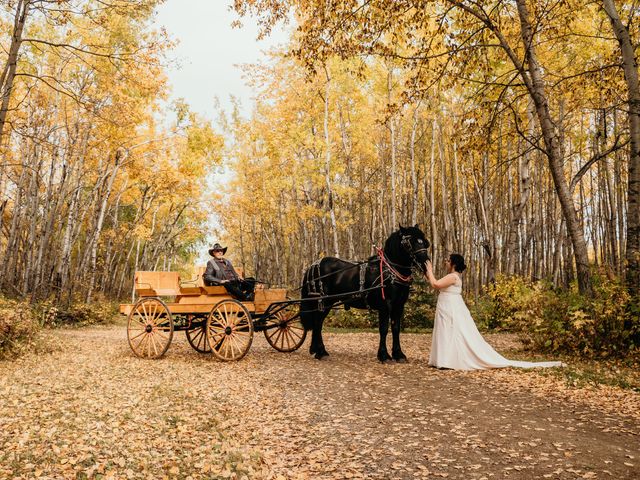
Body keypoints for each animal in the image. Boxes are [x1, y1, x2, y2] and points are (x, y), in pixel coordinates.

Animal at [300, 227, 430, 362]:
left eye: (424, 242)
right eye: (409, 242)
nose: (425, 262)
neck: (391, 271)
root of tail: (314, 264)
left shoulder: (399, 306)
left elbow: (396, 329)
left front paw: (398, 354)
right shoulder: (385, 305)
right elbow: (384, 329)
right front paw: (384, 355)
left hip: (326, 303)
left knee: (317, 323)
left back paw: (316, 350)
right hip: (323, 301)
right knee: (318, 323)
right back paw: (320, 352)